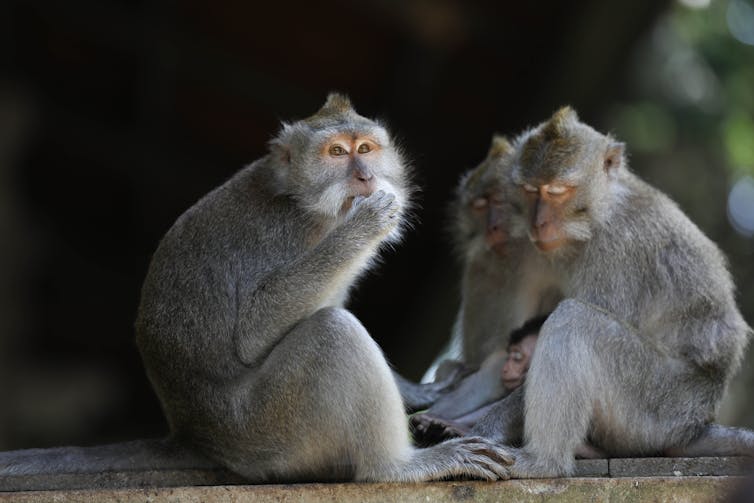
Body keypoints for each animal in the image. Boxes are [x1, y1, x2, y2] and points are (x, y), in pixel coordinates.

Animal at [470, 108, 752, 478]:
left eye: (556, 191)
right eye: (531, 191)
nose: (538, 223)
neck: (600, 213)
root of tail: (695, 425)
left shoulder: (619, 251)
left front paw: (483, 427)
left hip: (658, 407)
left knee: (575, 320)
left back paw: (543, 463)